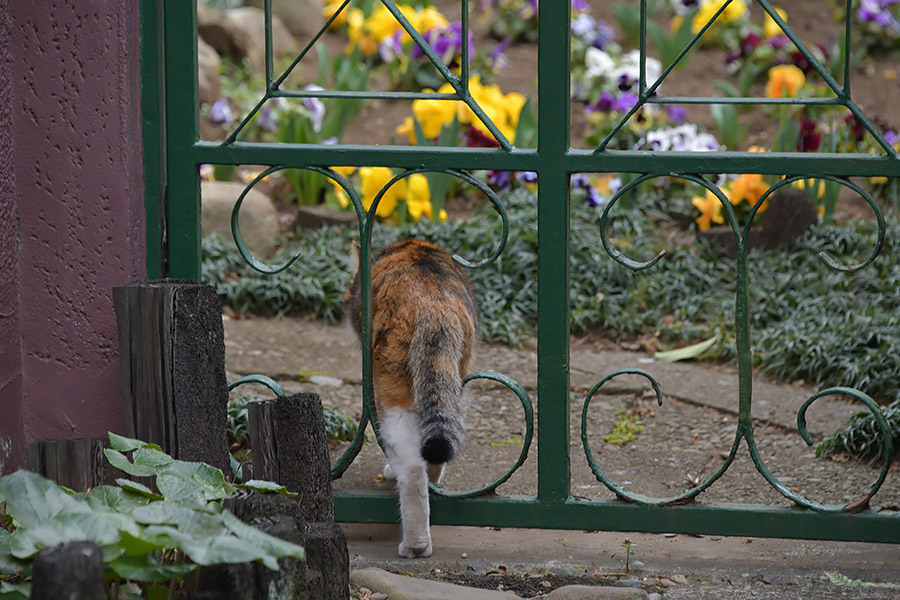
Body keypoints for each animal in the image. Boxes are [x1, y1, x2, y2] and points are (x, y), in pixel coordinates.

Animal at [344, 239, 478, 556]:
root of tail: (433, 308)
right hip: (450, 380)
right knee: (435, 447)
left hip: (390, 392)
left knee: (412, 468)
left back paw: (415, 544)